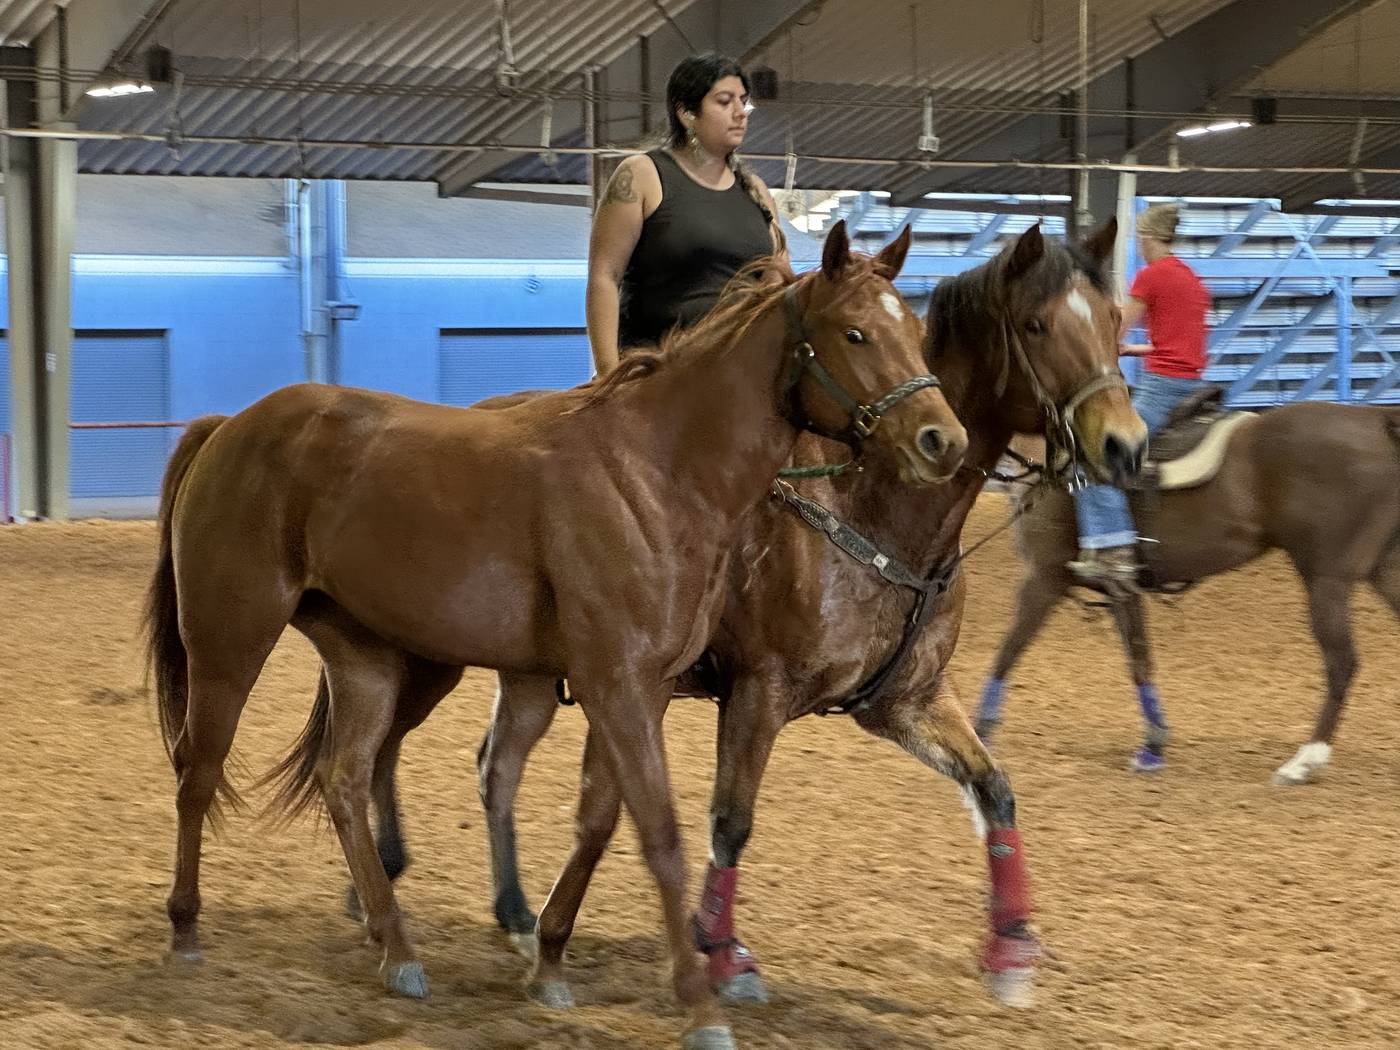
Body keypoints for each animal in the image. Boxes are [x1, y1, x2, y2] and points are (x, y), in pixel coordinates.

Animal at [141, 221, 967, 1050]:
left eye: (916, 330)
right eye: (854, 333)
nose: (943, 441)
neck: (656, 476)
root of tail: (228, 429)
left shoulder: (641, 690)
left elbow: (601, 820)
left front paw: (550, 965)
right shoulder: (623, 687)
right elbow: (662, 836)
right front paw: (700, 1008)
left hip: (368, 659)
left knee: (344, 779)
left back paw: (399, 949)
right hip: (230, 642)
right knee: (198, 773)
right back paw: (185, 932)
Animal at [344, 219, 1148, 1011]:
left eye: (1114, 320)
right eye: (1037, 324)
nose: (1125, 444)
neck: (870, 514)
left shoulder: (906, 700)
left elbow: (994, 789)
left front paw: (1011, 948)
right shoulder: (758, 690)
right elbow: (730, 821)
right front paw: (723, 953)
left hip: (528, 675)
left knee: (493, 765)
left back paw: (503, 911)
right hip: (429, 654)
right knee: (380, 746)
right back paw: (382, 888)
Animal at [975, 400, 1400, 783]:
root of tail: (1376, 420)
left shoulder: (1044, 577)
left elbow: (1009, 649)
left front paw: (980, 729)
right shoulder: (1121, 588)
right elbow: (1140, 660)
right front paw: (1153, 746)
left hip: (1326, 577)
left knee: (1342, 663)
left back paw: (1304, 761)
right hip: (1382, 569)